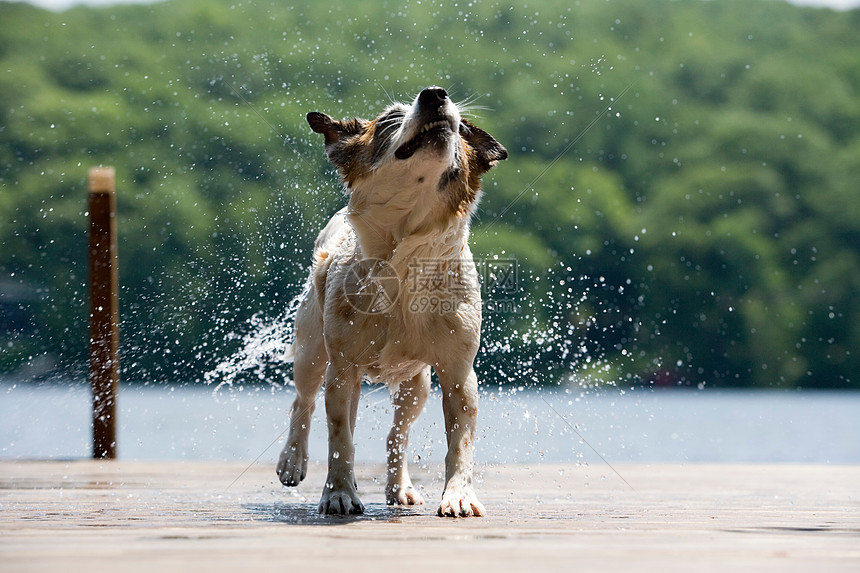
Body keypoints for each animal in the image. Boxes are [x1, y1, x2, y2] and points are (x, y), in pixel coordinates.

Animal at [278, 86, 504, 520]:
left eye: (464, 130)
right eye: (388, 121)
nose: (435, 94)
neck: (405, 261)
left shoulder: (458, 374)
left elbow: (460, 443)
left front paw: (458, 495)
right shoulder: (342, 369)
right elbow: (340, 439)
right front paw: (338, 494)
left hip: (416, 386)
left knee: (396, 435)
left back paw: (399, 488)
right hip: (314, 351)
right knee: (305, 402)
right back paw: (292, 462)